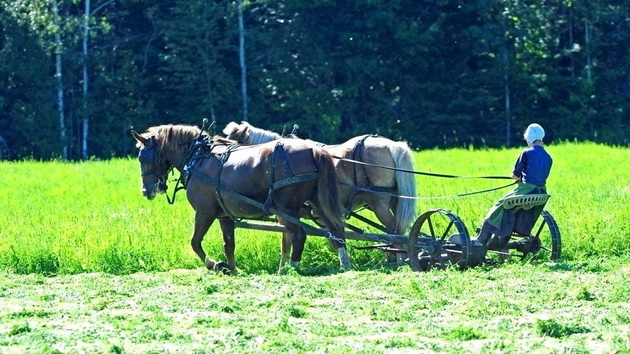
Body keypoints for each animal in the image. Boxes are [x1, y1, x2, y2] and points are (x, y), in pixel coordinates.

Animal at [132, 126, 350, 272]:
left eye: (143, 157)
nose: (146, 191)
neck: (198, 158)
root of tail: (312, 149)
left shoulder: (204, 212)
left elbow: (195, 242)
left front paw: (215, 264)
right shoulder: (225, 217)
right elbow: (229, 245)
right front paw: (233, 270)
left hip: (288, 209)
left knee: (299, 235)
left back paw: (292, 268)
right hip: (318, 202)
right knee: (336, 231)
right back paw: (344, 266)